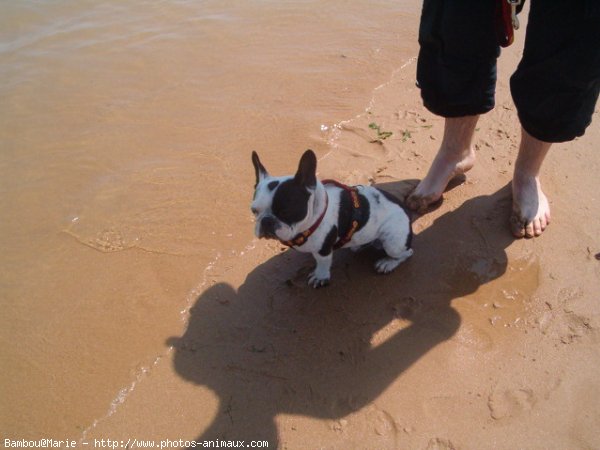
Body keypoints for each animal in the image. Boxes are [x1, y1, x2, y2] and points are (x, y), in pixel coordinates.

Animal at [250, 149, 412, 286]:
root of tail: (406, 212)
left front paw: (320, 276)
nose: (266, 221)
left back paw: (388, 263)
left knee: (406, 253)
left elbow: (323, 263)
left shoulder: (323, 250)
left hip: (393, 242)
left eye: (285, 212)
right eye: (254, 211)